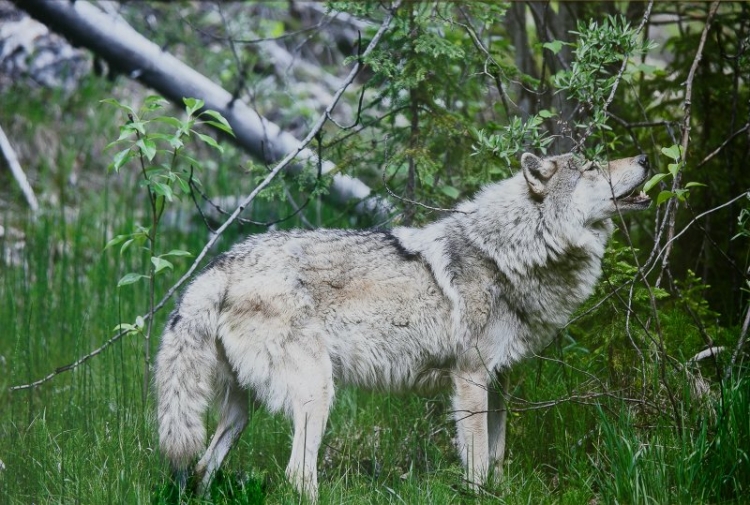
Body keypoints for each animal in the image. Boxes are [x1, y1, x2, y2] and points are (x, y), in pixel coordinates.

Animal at [154, 152, 652, 498]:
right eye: (591, 166)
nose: (646, 158)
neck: (512, 251)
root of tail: (222, 264)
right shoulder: (470, 379)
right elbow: (475, 465)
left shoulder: (500, 382)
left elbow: (496, 459)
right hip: (317, 393)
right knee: (297, 475)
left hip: (243, 410)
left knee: (203, 467)